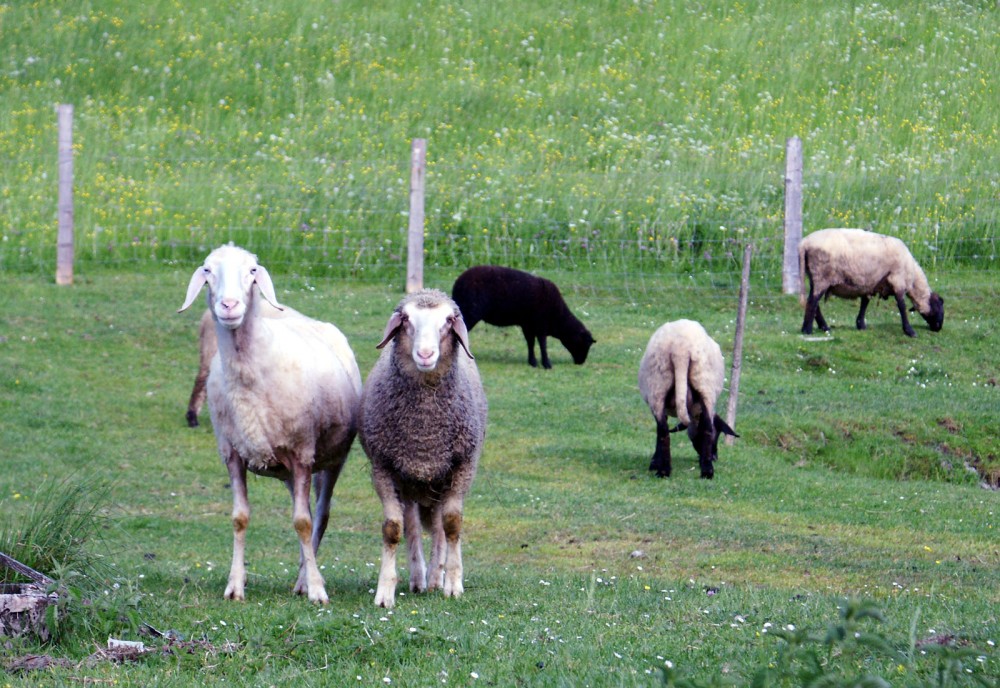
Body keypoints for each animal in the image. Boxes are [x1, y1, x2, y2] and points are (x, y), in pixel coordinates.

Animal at [177, 243, 364, 600]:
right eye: (208, 271)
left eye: (252, 271)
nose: (229, 306)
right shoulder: (231, 453)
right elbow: (240, 518)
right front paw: (235, 585)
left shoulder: (303, 452)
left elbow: (303, 523)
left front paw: (316, 589)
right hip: (287, 469)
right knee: (305, 511)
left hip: (332, 458)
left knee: (319, 515)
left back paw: (305, 580)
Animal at [360, 288, 488, 608]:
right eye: (406, 320)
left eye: (448, 321)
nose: (426, 354)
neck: (424, 434)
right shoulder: (383, 468)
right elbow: (393, 528)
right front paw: (385, 591)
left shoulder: (462, 466)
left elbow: (453, 524)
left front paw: (452, 583)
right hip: (409, 484)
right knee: (413, 527)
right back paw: (419, 579)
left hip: (440, 480)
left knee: (441, 528)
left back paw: (435, 578)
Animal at [452, 264, 592, 370]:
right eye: (585, 343)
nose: (581, 362)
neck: (558, 317)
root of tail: (457, 284)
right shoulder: (541, 325)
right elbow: (542, 344)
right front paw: (546, 364)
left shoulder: (528, 325)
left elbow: (531, 343)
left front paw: (532, 362)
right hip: (469, 313)